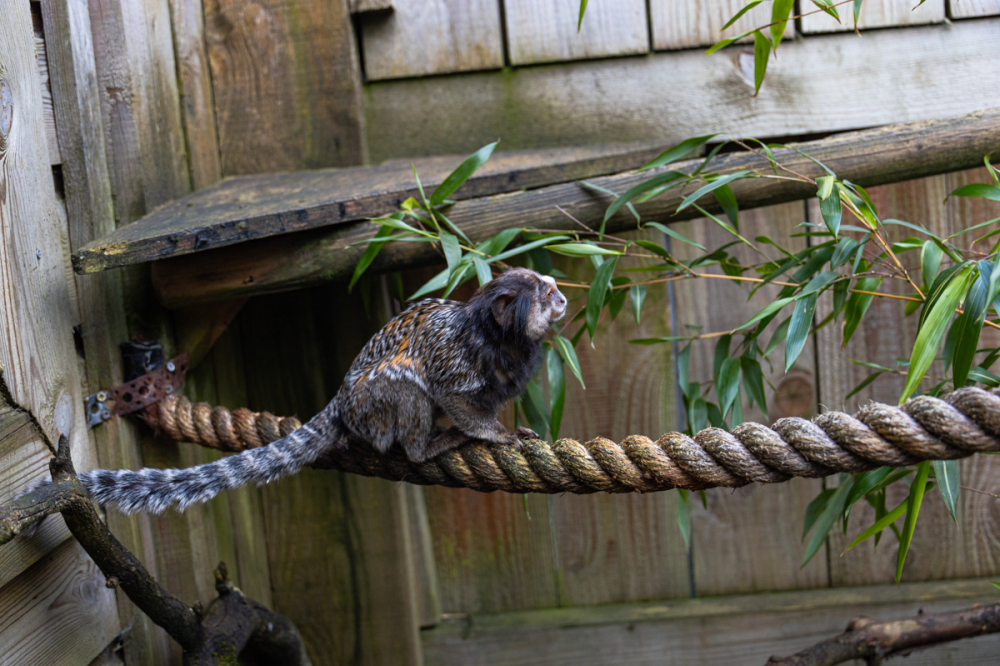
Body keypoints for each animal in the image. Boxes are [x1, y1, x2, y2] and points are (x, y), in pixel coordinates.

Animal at [79, 268, 567, 514]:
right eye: (548, 293)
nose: (563, 299)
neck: (498, 339)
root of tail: (341, 404)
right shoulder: (457, 365)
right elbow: (451, 397)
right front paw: (498, 434)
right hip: (372, 405)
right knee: (405, 387)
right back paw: (427, 446)